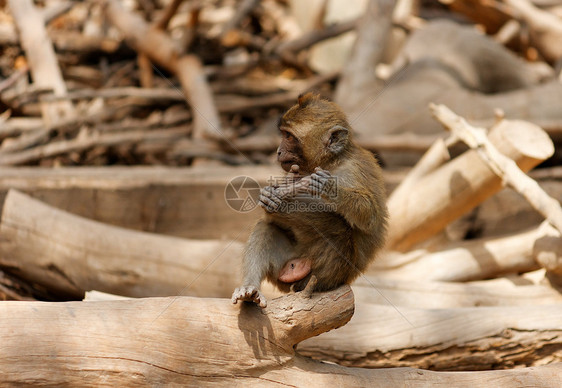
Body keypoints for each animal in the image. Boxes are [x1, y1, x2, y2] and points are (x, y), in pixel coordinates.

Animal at [229, 92, 384, 308]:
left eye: (289, 136)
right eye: (283, 134)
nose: (278, 151)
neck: (331, 161)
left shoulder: (353, 170)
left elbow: (369, 215)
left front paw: (327, 187)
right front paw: (270, 194)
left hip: (329, 270)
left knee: (338, 229)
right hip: (285, 262)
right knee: (267, 225)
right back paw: (250, 288)